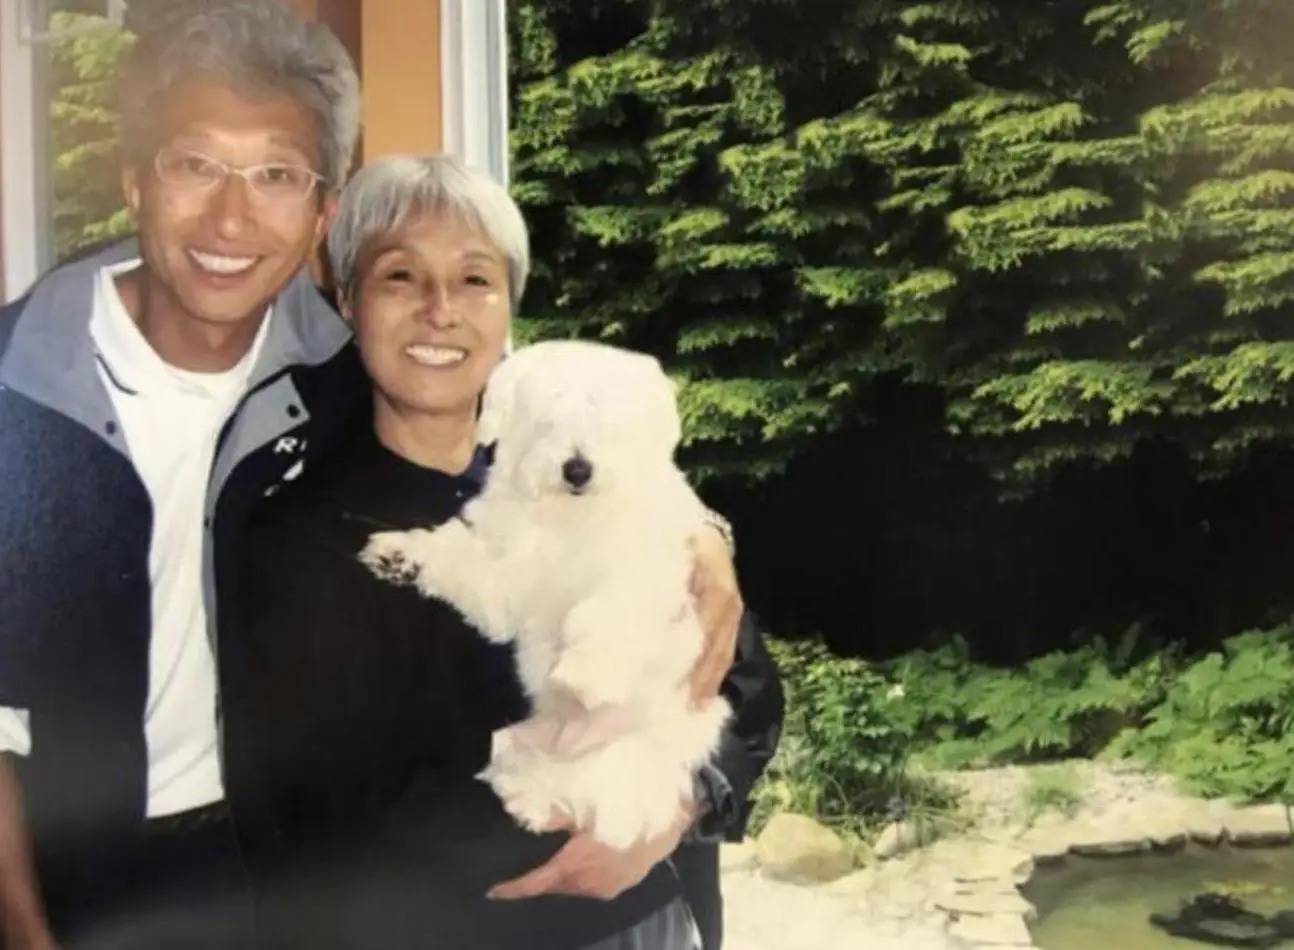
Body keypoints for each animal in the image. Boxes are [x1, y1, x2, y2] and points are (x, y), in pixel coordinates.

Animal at [360, 340, 731, 848]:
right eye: (546, 421)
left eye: (606, 421)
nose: (577, 469)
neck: (566, 519)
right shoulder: (504, 579)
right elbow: (456, 556)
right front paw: (401, 554)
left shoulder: (645, 573)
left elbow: (603, 611)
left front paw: (585, 672)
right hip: (522, 738)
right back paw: (523, 788)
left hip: (625, 754)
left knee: (594, 794)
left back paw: (535, 798)